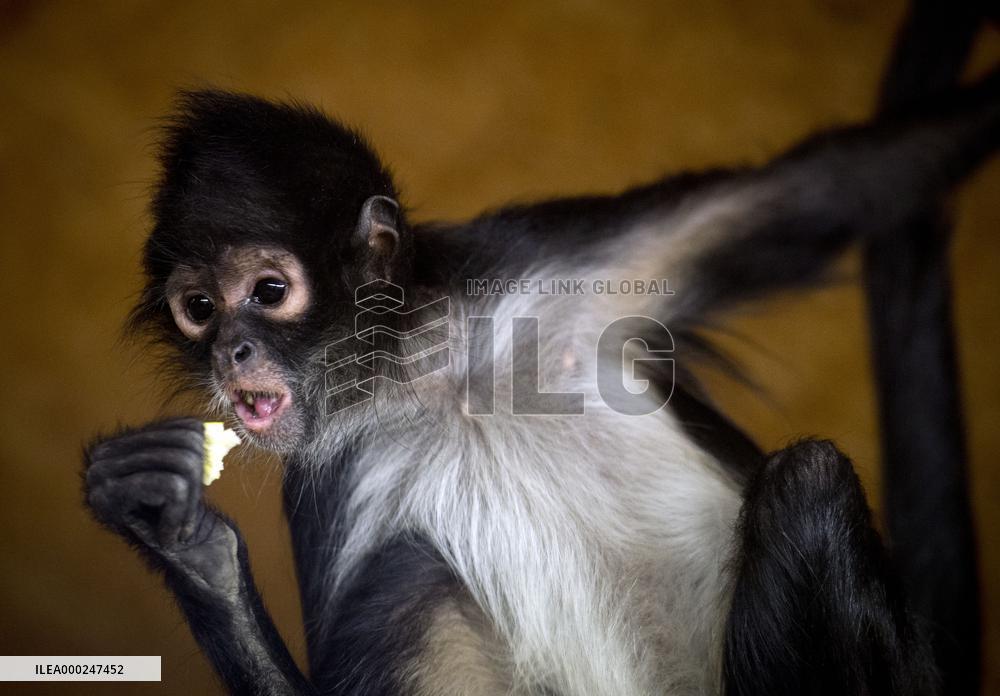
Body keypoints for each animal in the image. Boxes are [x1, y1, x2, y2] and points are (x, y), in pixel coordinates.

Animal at [82, 12, 1000, 696]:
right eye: (198, 310)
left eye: (268, 291)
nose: (230, 353)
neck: (442, 379)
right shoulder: (330, 481)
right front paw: (180, 538)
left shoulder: (540, 258)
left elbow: (850, 181)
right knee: (416, 577)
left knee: (805, 477)